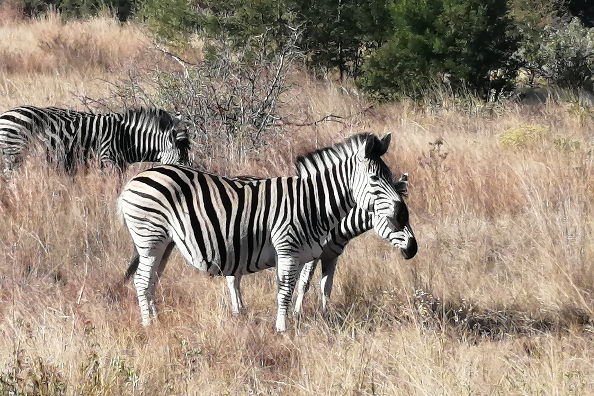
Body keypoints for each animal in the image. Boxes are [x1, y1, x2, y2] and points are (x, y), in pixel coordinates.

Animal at [0, 105, 190, 172]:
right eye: (180, 159)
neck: (127, 137)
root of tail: (5, 114)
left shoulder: (121, 164)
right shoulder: (107, 159)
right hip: (14, 154)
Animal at [224, 173, 414, 316]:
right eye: (395, 218)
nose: (413, 249)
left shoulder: (331, 255)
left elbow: (326, 285)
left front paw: (324, 313)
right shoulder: (310, 255)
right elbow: (304, 284)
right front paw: (297, 313)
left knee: (236, 276)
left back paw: (241, 308)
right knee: (232, 278)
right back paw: (237, 312)